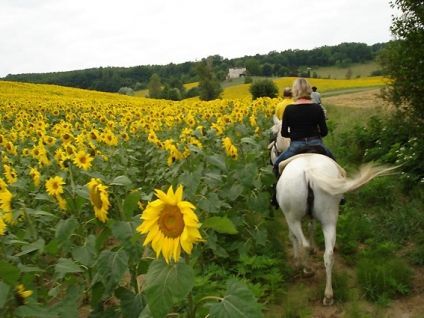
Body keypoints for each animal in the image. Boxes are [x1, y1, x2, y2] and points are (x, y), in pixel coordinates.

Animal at [270, 115, 396, 304]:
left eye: (272, 133)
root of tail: (309, 172)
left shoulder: (289, 217)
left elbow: (294, 238)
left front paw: (297, 260)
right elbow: (311, 227)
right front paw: (313, 248)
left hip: (294, 218)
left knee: (304, 244)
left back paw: (307, 269)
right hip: (329, 219)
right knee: (328, 255)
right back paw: (328, 294)